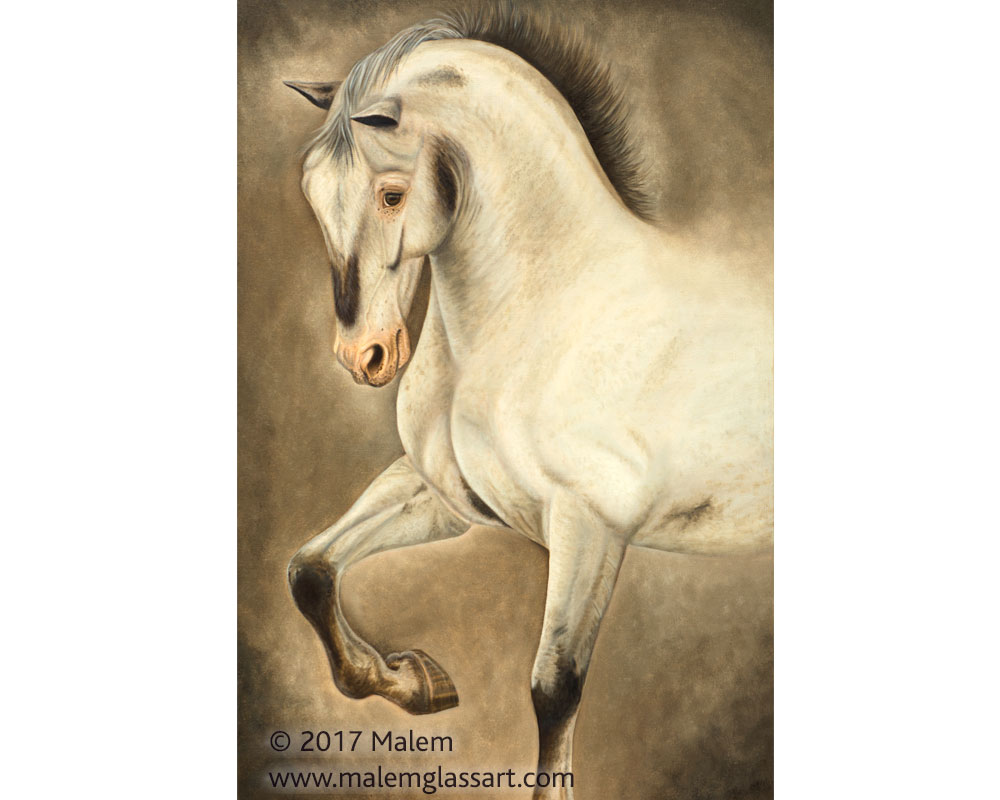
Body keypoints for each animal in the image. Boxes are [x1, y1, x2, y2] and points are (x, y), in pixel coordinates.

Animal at [283, 5, 772, 797]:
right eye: (312, 192)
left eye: (391, 194)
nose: (365, 357)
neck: (546, 310)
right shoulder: (444, 500)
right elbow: (311, 572)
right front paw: (413, 682)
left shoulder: (589, 529)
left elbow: (554, 688)